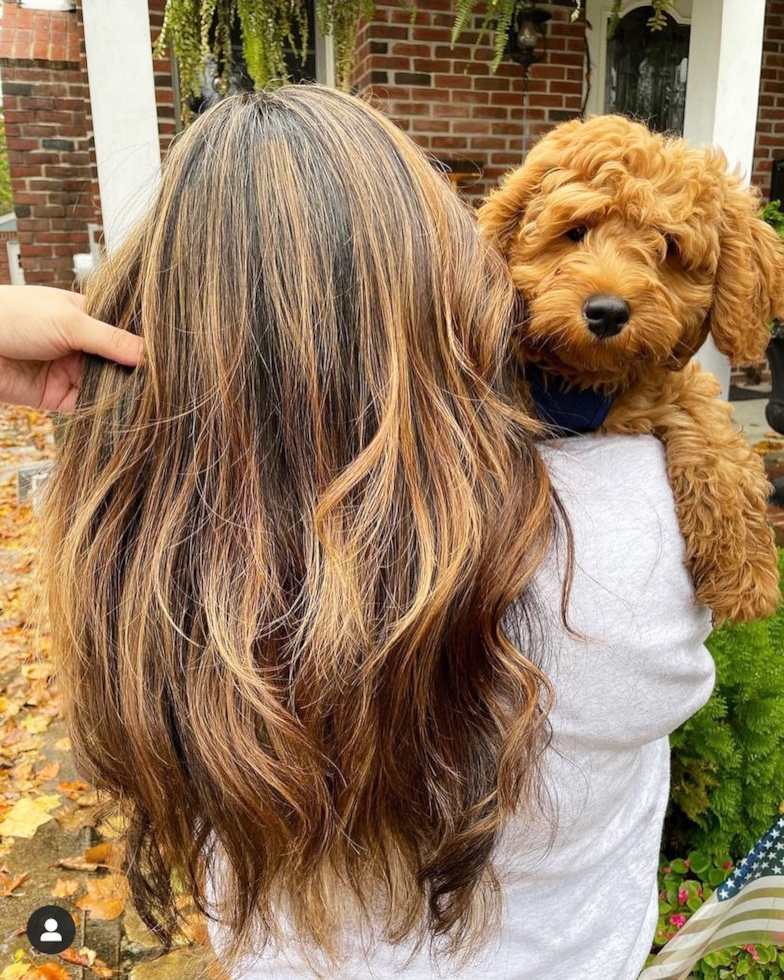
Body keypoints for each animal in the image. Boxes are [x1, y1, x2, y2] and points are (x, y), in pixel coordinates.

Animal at [478, 113, 784, 620]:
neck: (581, 380)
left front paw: (743, 569)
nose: (607, 313)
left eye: (669, 246)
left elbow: (714, 435)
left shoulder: (668, 386)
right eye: (576, 231)